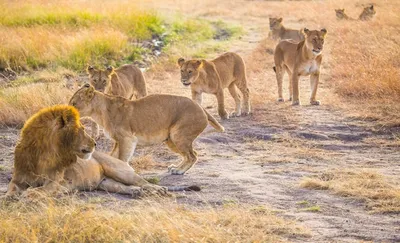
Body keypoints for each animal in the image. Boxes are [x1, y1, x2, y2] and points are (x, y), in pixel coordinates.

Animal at [5, 105, 169, 198]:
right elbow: (10, 189)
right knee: (123, 187)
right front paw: (9, 196)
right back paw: (137, 192)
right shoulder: (18, 179)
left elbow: (40, 190)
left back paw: (157, 189)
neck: (43, 155)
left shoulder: (55, 182)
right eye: (82, 130)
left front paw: (29, 193)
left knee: (142, 181)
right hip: (106, 183)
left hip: (120, 171)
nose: (95, 143)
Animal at [69, 83, 225, 175]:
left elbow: (122, 158)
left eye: (74, 103)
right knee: (192, 154)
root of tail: (201, 108)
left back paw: (179, 171)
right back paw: (176, 168)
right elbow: (112, 157)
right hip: (171, 140)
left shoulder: (127, 138)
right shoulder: (118, 141)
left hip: (178, 135)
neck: (99, 112)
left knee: (193, 156)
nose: (68, 113)